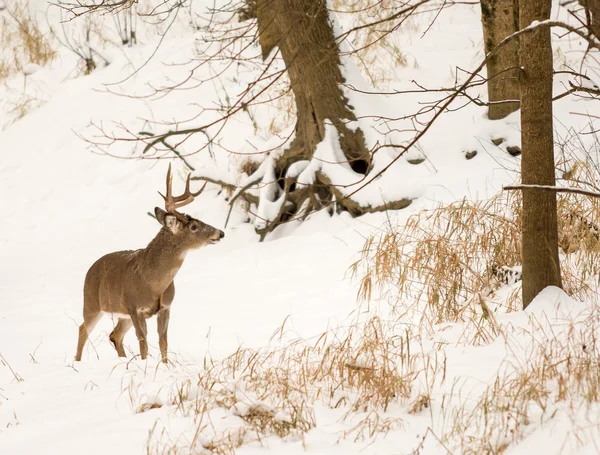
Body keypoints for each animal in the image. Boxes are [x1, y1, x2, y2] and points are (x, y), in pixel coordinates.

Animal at [74, 164, 224, 364]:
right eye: (194, 227)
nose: (220, 232)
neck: (152, 281)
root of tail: (90, 269)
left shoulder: (166, 306)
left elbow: (163, 341)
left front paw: (165, 366)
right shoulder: (134, 307)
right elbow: (143, 342)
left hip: (121, 314)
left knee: (115, 334)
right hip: (91, 303)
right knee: (83, 329)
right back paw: (77, 362)